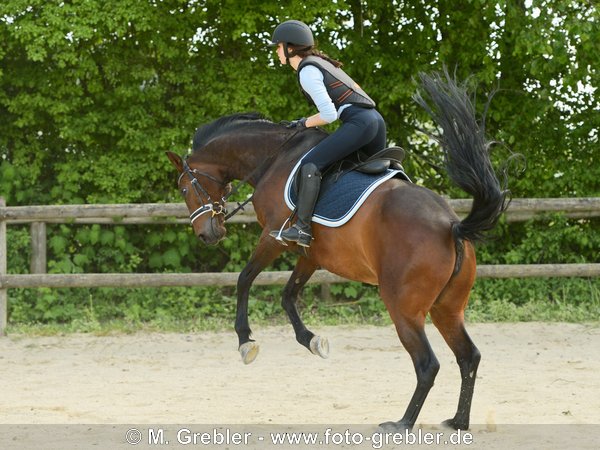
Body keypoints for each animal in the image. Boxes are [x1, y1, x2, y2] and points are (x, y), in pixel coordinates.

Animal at [166, 72, 508, 430]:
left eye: (184, 188)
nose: (207, 235)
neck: (273, 158)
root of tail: (451, 225)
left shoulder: (274, 237)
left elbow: (244, 279)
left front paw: (246, 341)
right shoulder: (310, 253)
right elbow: (288, 295)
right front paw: (312, 340)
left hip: (404, 308)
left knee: (428, 364)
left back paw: (401, 423)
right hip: (447, 308)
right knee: (468, 356)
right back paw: (457, 421)